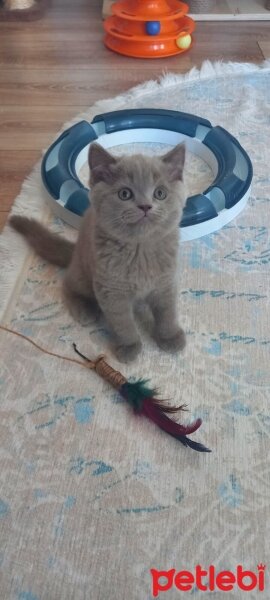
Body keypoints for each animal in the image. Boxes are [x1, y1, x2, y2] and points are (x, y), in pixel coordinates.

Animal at [9, 143, 187, 364]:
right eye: (125, 194)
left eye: (160, 193)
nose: (146, 206)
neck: (140, 250)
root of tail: (75, 251)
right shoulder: (111, 291)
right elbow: (123, 322)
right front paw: (129, 346)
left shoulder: (165, 282)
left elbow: (167, 312)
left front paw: (170, 337)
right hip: (84, 274)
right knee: (68, 284)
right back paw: (84, 309)